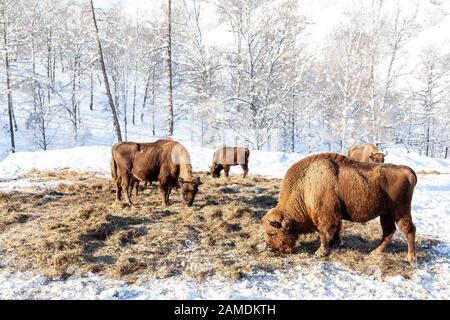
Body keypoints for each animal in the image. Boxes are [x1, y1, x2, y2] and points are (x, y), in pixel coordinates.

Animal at [262, 153, 416, 262]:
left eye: (273, 233)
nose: (270, 247)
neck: (306, 186)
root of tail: (408, 172)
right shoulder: (336, 216)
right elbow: (336, 231)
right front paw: (338, 244)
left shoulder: (327, 217)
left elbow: (325, 233)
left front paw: (320, 253)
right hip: (385, 214)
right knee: (388, 231)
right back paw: (375, 252)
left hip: (400, 212)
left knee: (409, 230)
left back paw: (410, 257)